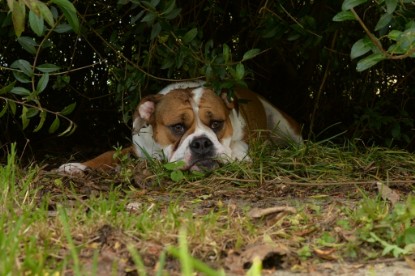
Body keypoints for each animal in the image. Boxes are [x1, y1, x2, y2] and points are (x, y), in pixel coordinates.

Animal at [58, 81, 304, 174]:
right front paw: (77, 165)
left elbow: (236, 149)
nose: (202, 143)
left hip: (285, 125)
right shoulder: (136, 149)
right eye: (177, 127)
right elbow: (107, 154)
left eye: (217, 124)